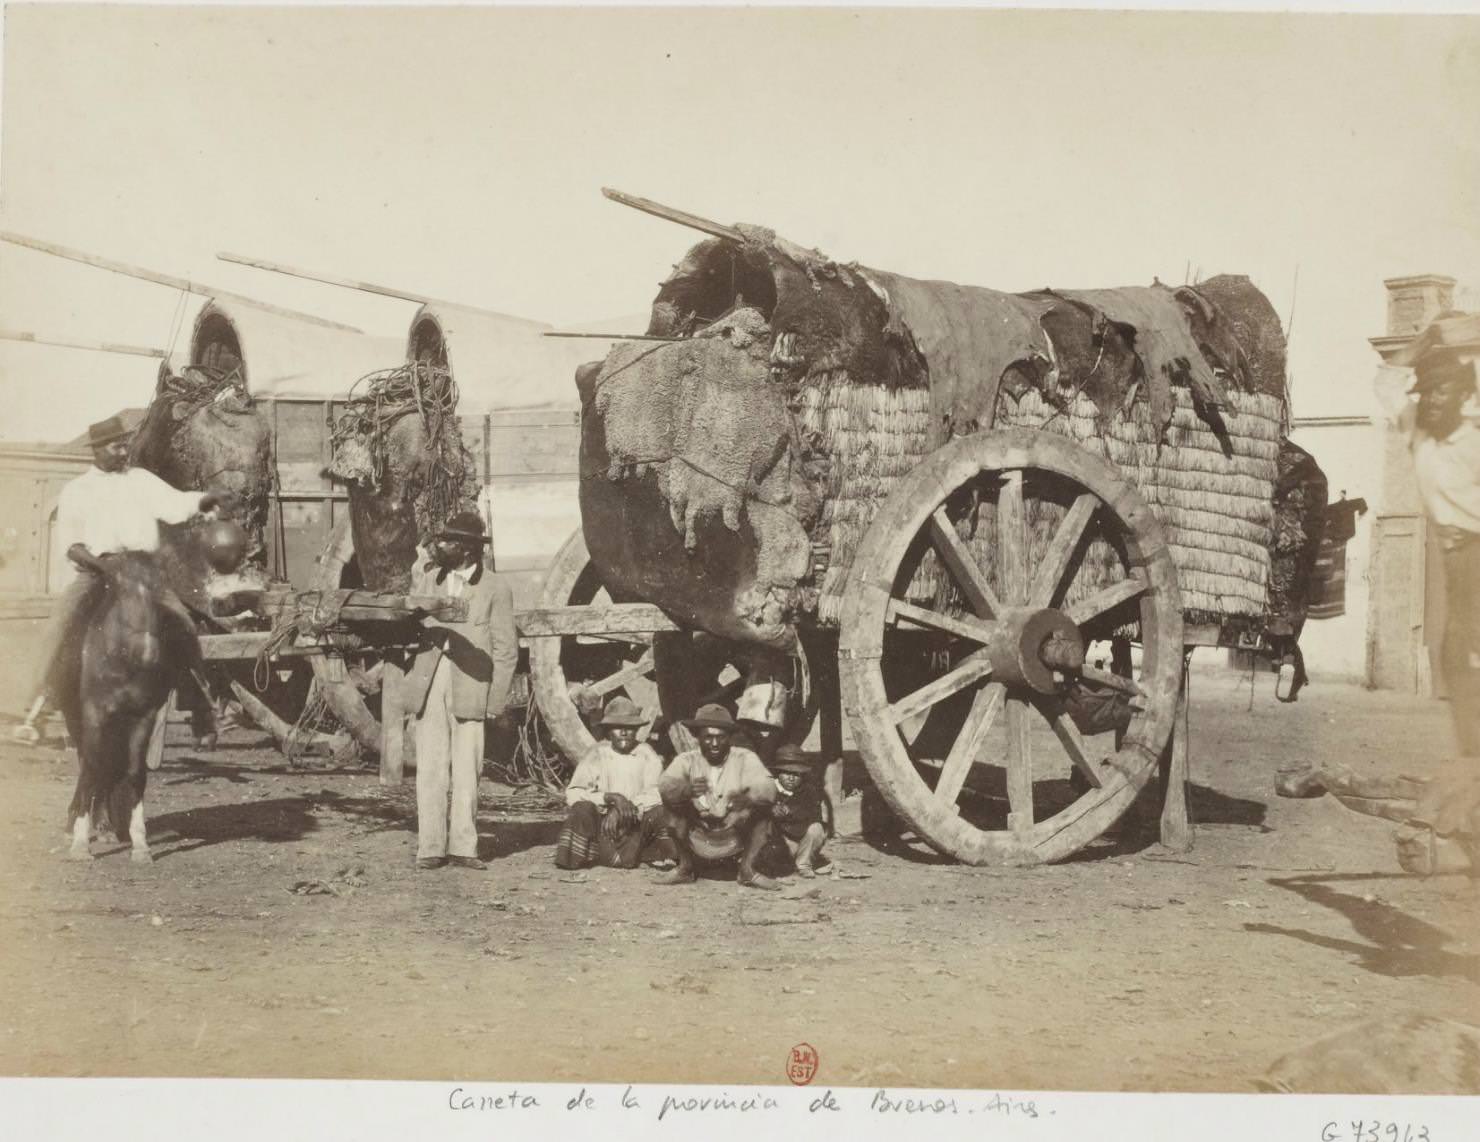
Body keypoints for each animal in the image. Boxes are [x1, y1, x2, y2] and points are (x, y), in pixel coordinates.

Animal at [60, 547, 210, 863]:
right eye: (121, 596)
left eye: (160, 599)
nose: (149, 652)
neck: (122, 664)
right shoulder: (94, 716)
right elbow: (90, 768)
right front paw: (80, 843)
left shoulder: (143, 717)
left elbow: (134, 772)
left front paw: (140, 843)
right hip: (77, 719)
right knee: (90, 765)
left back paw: (105, 826)